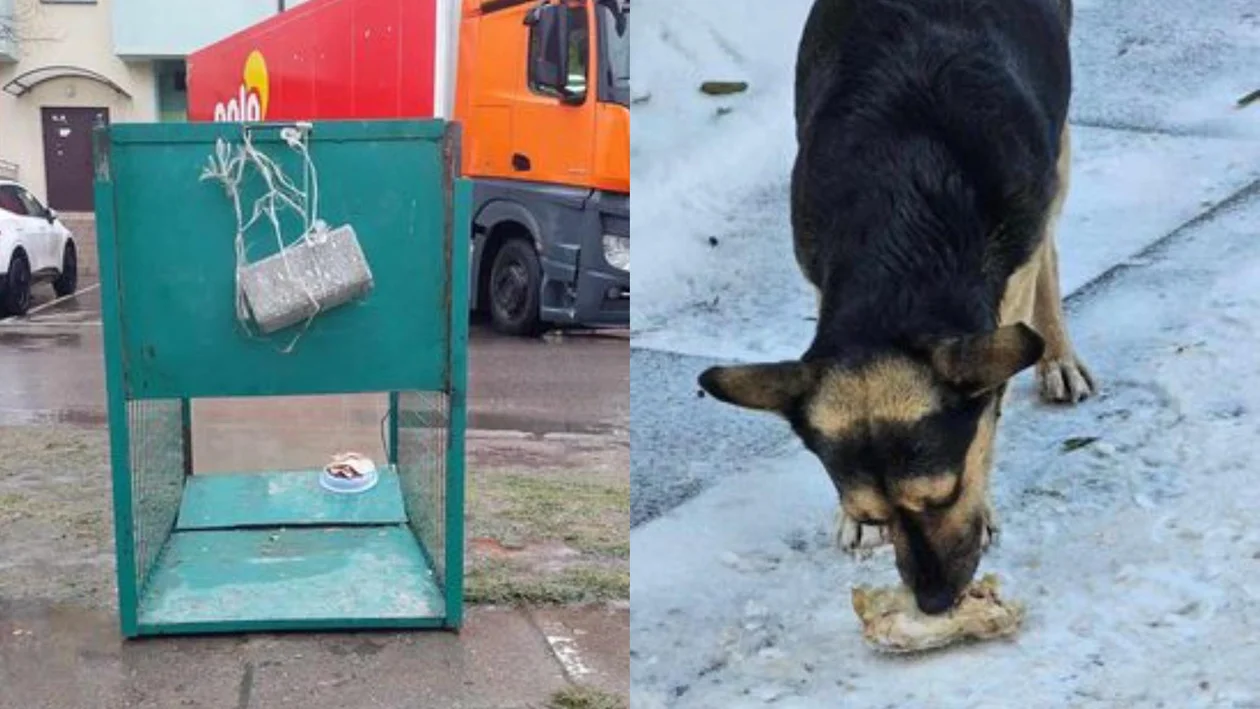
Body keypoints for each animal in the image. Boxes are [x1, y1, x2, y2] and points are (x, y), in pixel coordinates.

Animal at [700, 0, 1093, 617]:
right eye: (872, 513)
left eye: (945, 495)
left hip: (1055, 148)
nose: (934, 603)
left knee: (1048, 236)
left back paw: (1057, 354)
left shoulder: (1008, 274)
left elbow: (989, 413)